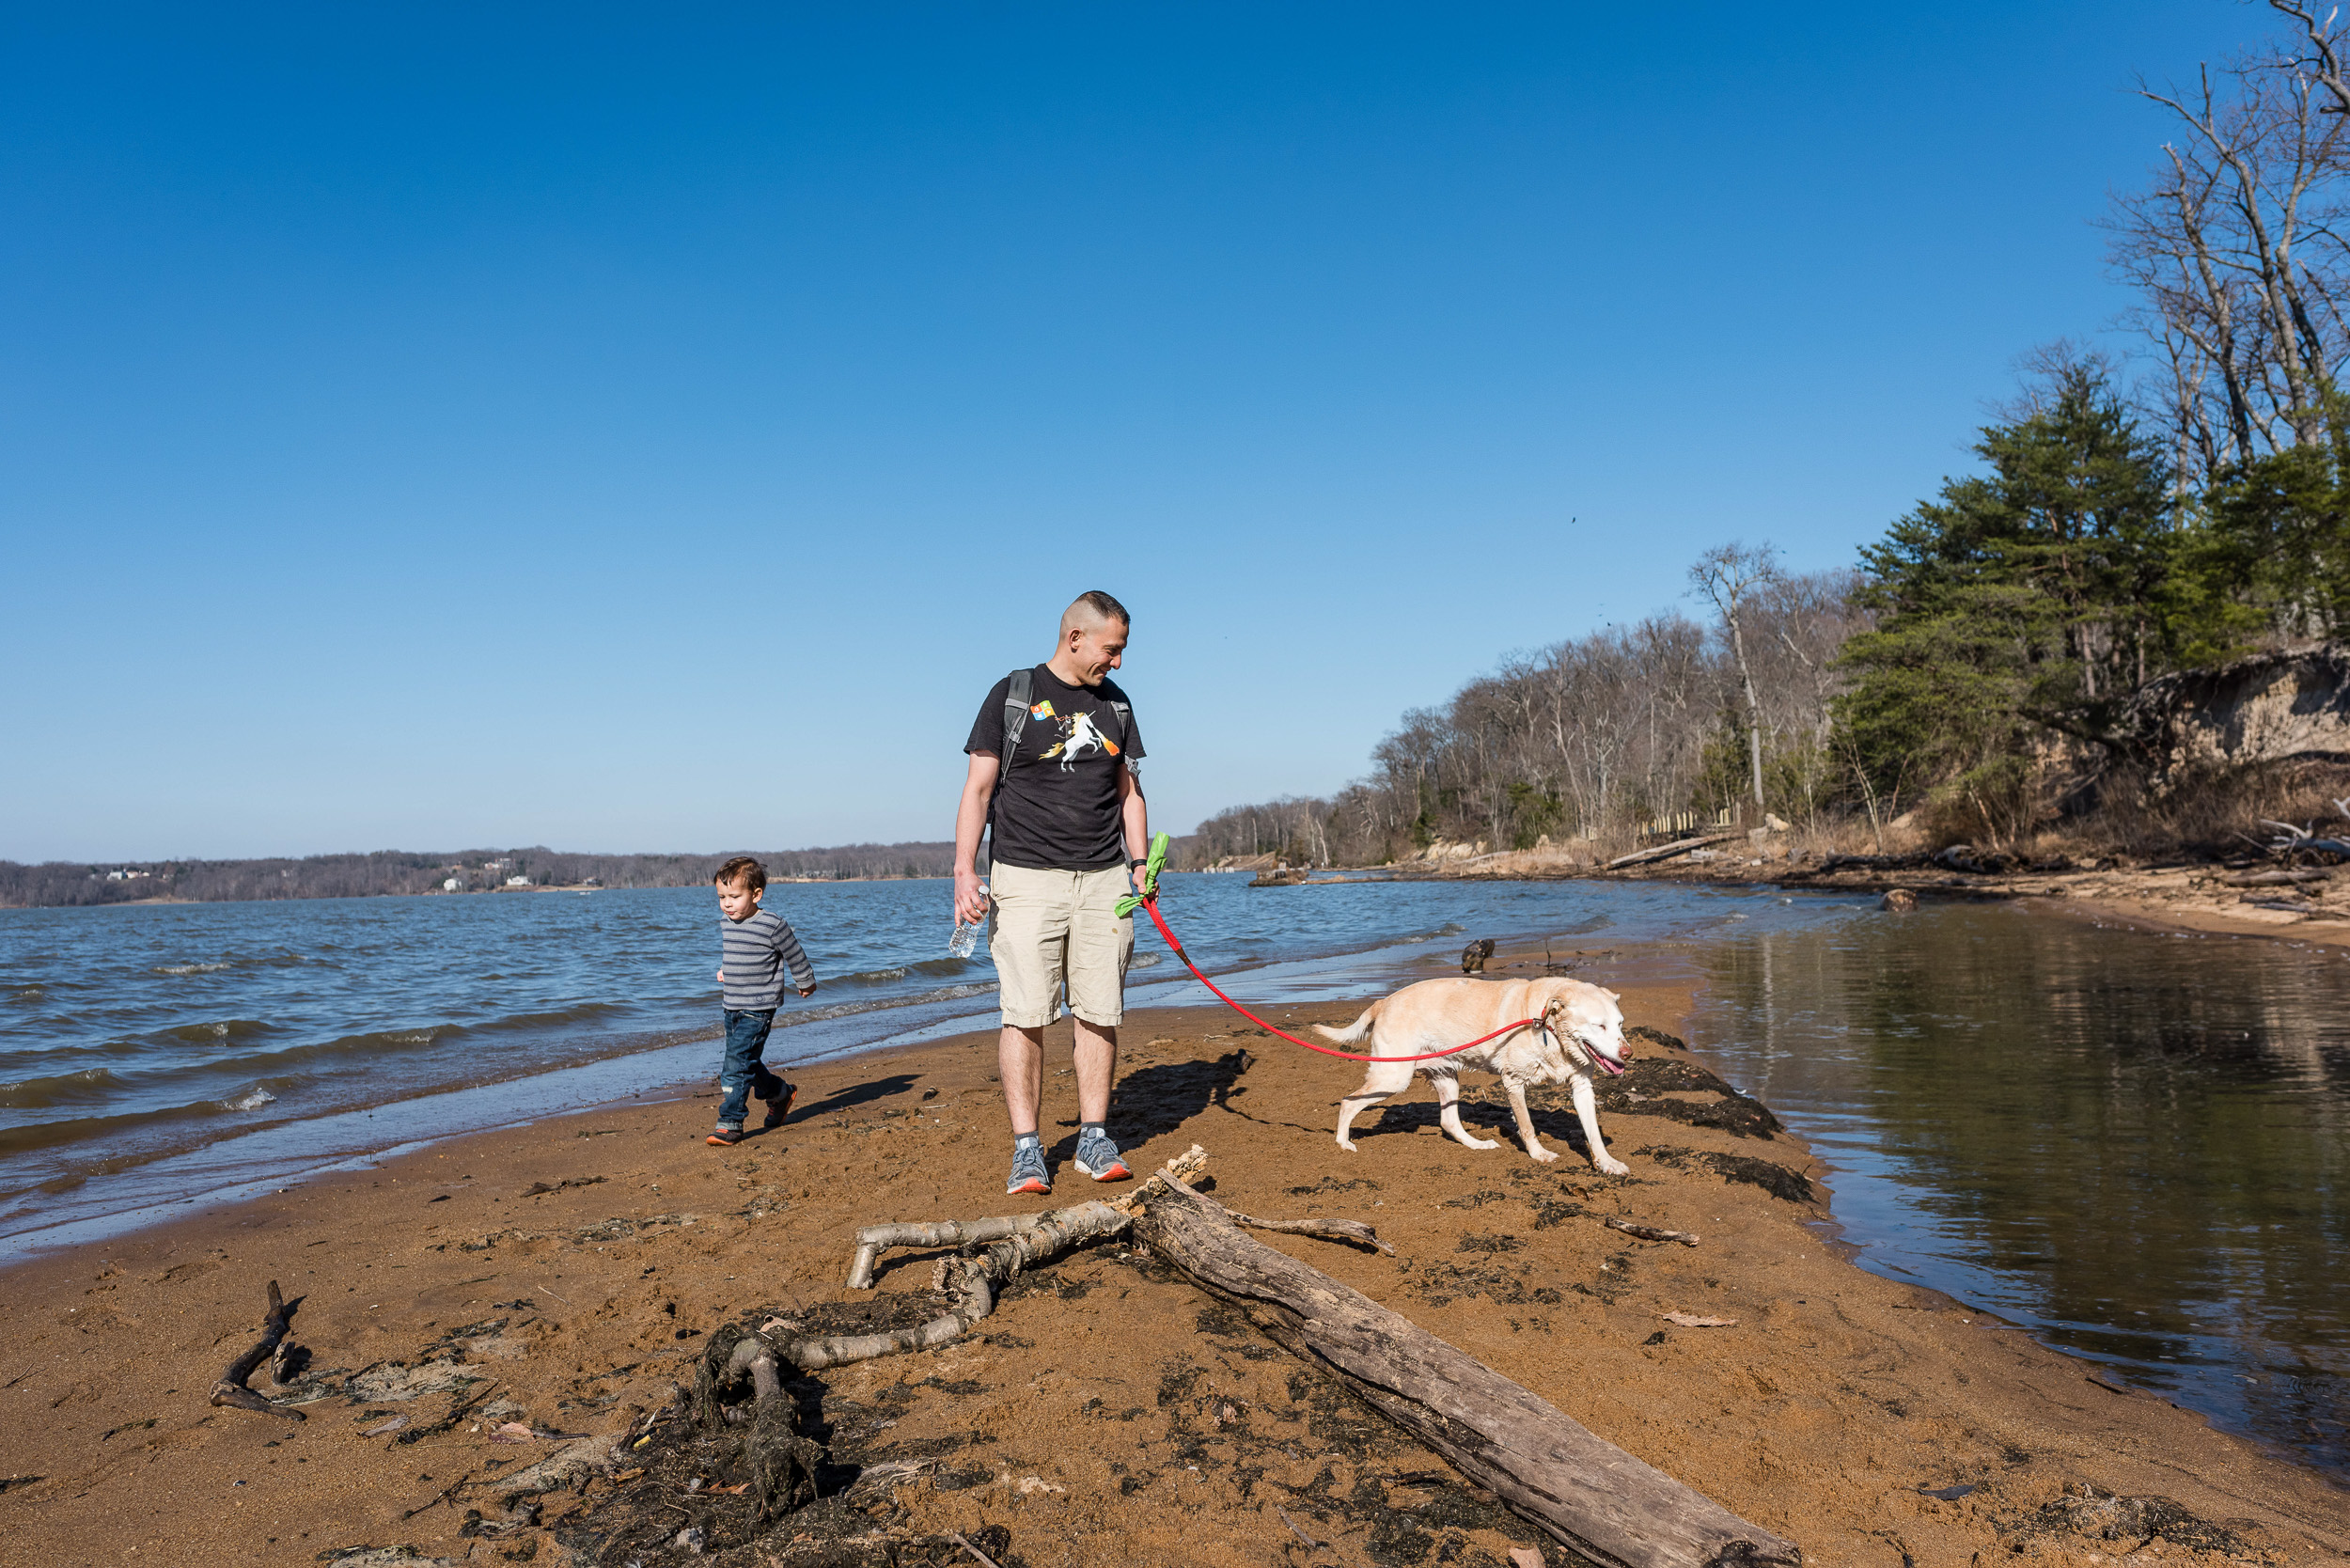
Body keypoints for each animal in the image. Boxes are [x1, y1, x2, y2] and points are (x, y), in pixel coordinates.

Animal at [1316, 973, 1626, 1170]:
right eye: (1599, 1025)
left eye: (1620, 1024)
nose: (1628, 1054)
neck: (1547, 1026)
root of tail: (1383, 1001)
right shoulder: (1513, 1082)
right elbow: (1527, 1126)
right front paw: (1539, 1154)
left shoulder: (1582, 1086)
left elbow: (1593, 1132)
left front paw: (1606, 1162)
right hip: (1393, 1077)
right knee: (1348, 1101)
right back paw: (1343, 1142)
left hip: (1446, 1078)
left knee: (1449, 1122)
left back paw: (1477, 1145)